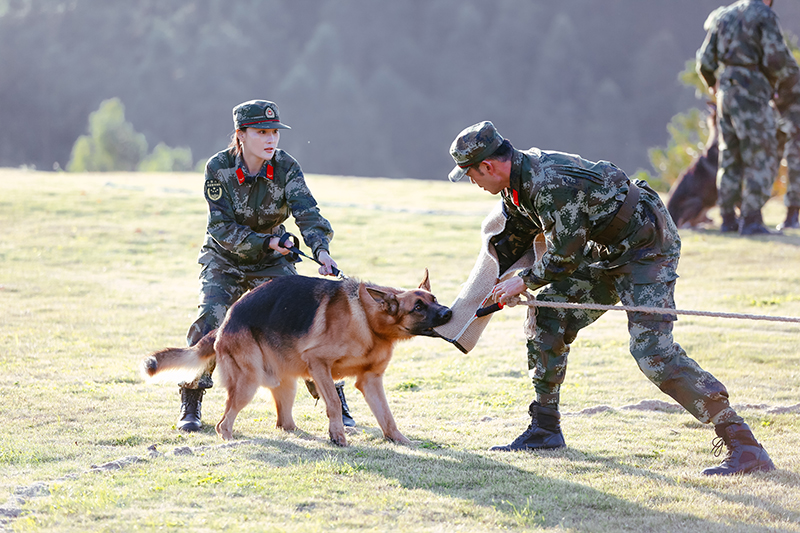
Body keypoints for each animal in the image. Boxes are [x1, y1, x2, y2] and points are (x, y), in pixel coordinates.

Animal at [142, 270, 450, 444]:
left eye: (434, 299)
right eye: (418, 307)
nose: (448, 312)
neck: (368, 318)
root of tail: (226, 321)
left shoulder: (370, 381)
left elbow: (387, 416)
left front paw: (399, 440)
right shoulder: (319, 364)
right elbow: (333, 404)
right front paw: (337, 436)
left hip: (285, 385)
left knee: (284, 423)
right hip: (247, 384)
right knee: (223, 423)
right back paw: (230, 441)